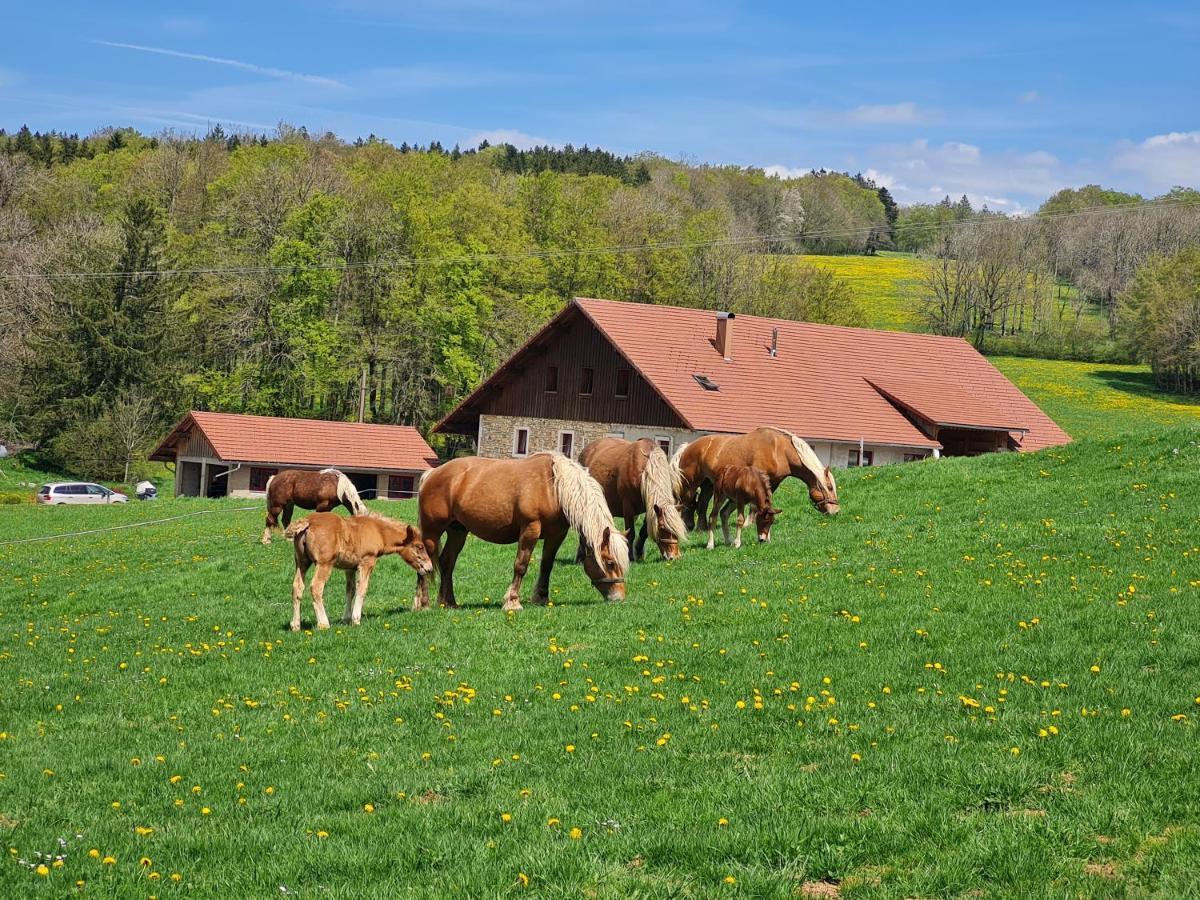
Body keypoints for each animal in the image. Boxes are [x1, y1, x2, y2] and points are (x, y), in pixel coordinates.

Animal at [280, 511, 432, 628]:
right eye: (419, 547)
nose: (429, 568)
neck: (379, 531)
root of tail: (307, 522)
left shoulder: (350, 568)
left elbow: (350, 590)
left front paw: (346, 618)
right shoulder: (367, 562)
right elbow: (362, 588)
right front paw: (356, 619)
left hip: (302, 562)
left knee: (297, 587)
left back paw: (295, 625)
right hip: (324, 564)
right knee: (316, 587)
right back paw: (323, 624)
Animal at [415, 451, 633, 614]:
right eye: (610, 563)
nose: (619, 597)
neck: (554, 486)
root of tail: (432, 473)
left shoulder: (556, 534)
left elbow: (547, 565)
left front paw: (542, 598)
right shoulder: (530, 529)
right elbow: (521, 565)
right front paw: (513, 602)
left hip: (458, 531)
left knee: (447, 562)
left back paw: (448, 602)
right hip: (432, 531)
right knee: (425, 564)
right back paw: (422, 604)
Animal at [681, 427, 840, 532]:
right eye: (830, 487)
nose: (836, 511)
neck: (779, 451)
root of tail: (688, 446)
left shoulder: (773, 483)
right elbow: (753, 505)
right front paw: (747, 524)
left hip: (708, 483)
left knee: (702, 503)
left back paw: (701, 528)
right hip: (691, 482)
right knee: (687, 502)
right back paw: (687, 526)